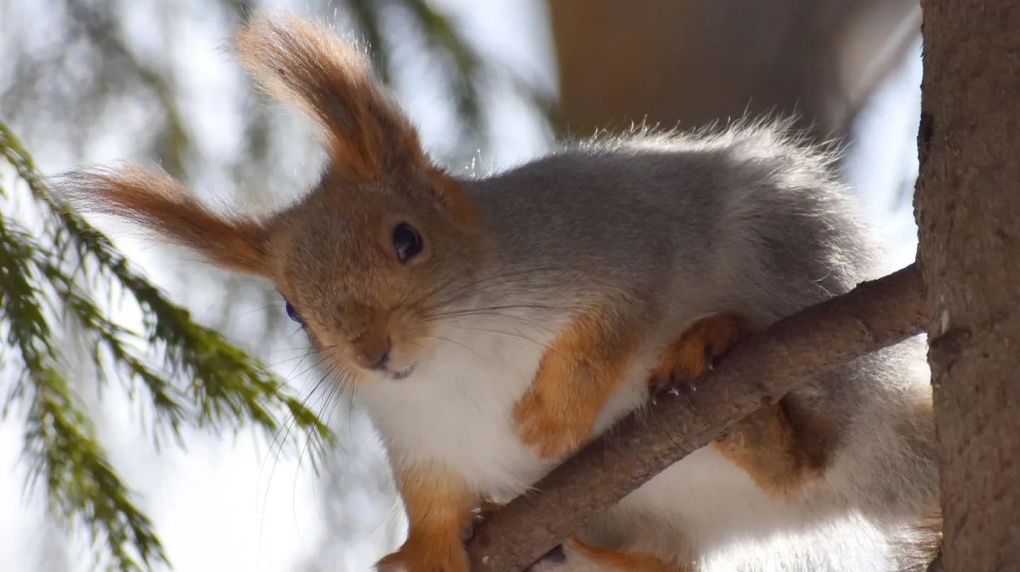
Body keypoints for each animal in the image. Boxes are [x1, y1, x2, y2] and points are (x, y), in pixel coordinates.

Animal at [59, 10, 938, 570]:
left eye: (407, 239)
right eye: (291, 310)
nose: (373, 354)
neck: (456, 360)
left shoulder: (618, 244)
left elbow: (618, 316)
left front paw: (553, 417)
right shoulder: (419, 436)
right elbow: (430, 498)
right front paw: (425, 552)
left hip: (800, 285)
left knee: (810, 453)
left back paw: (725, 371)